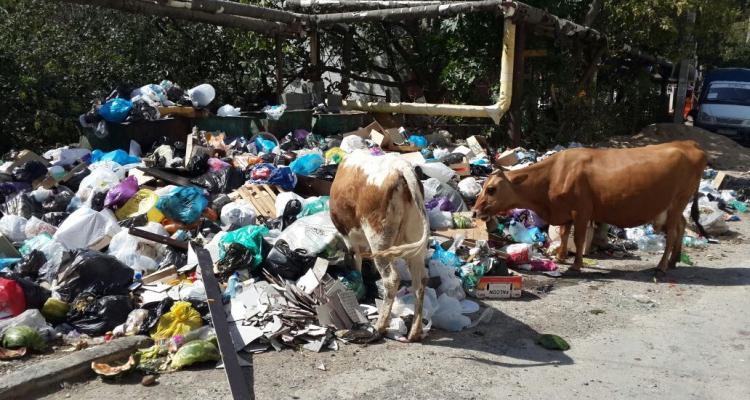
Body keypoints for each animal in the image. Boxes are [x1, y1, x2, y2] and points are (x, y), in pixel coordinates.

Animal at [328, 148, 428, 342]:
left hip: (378, 237)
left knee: (391, 279)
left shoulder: (350, 239)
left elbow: (356, 261)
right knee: (420, 283)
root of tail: (401, 168)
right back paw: (415, 331)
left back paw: (379, 327)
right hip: (415, 242)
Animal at [476, 141, 712, 276]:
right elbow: (564, 234)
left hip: (677, 202)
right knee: (681, 226)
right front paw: (560, 257)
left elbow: (579, 238)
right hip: (675, 206)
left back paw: (662, 265)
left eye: (492, 189)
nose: (476, 211)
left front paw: (576, 264)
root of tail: (691, 144)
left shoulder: (582, 211)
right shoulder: (565, 211)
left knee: (672, 233)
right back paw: (673, 261)